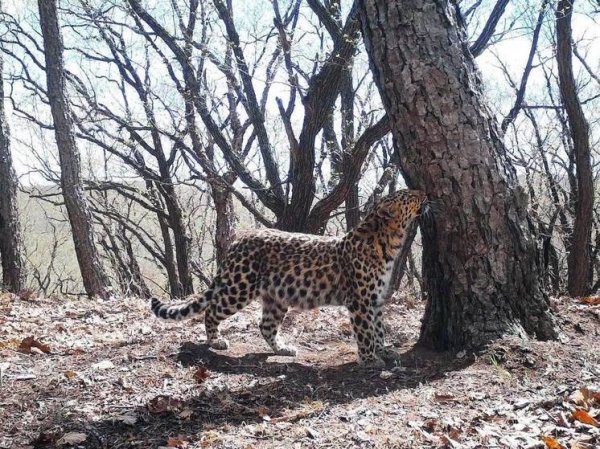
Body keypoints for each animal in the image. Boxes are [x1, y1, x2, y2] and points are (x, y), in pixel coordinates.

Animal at [152, 189, 428, 364]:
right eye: (408, 195)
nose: (425, 192)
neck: (391, 241)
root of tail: (238, 240)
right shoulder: (360, 301)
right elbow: (366, 330)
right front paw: (370, 359)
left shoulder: (376, 300)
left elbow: (378, 328)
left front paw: (385, 352)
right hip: (238, 288)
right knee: (211, 310)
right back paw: (216, 341)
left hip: (276, 297)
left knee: (265, 325)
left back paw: (283, 349)